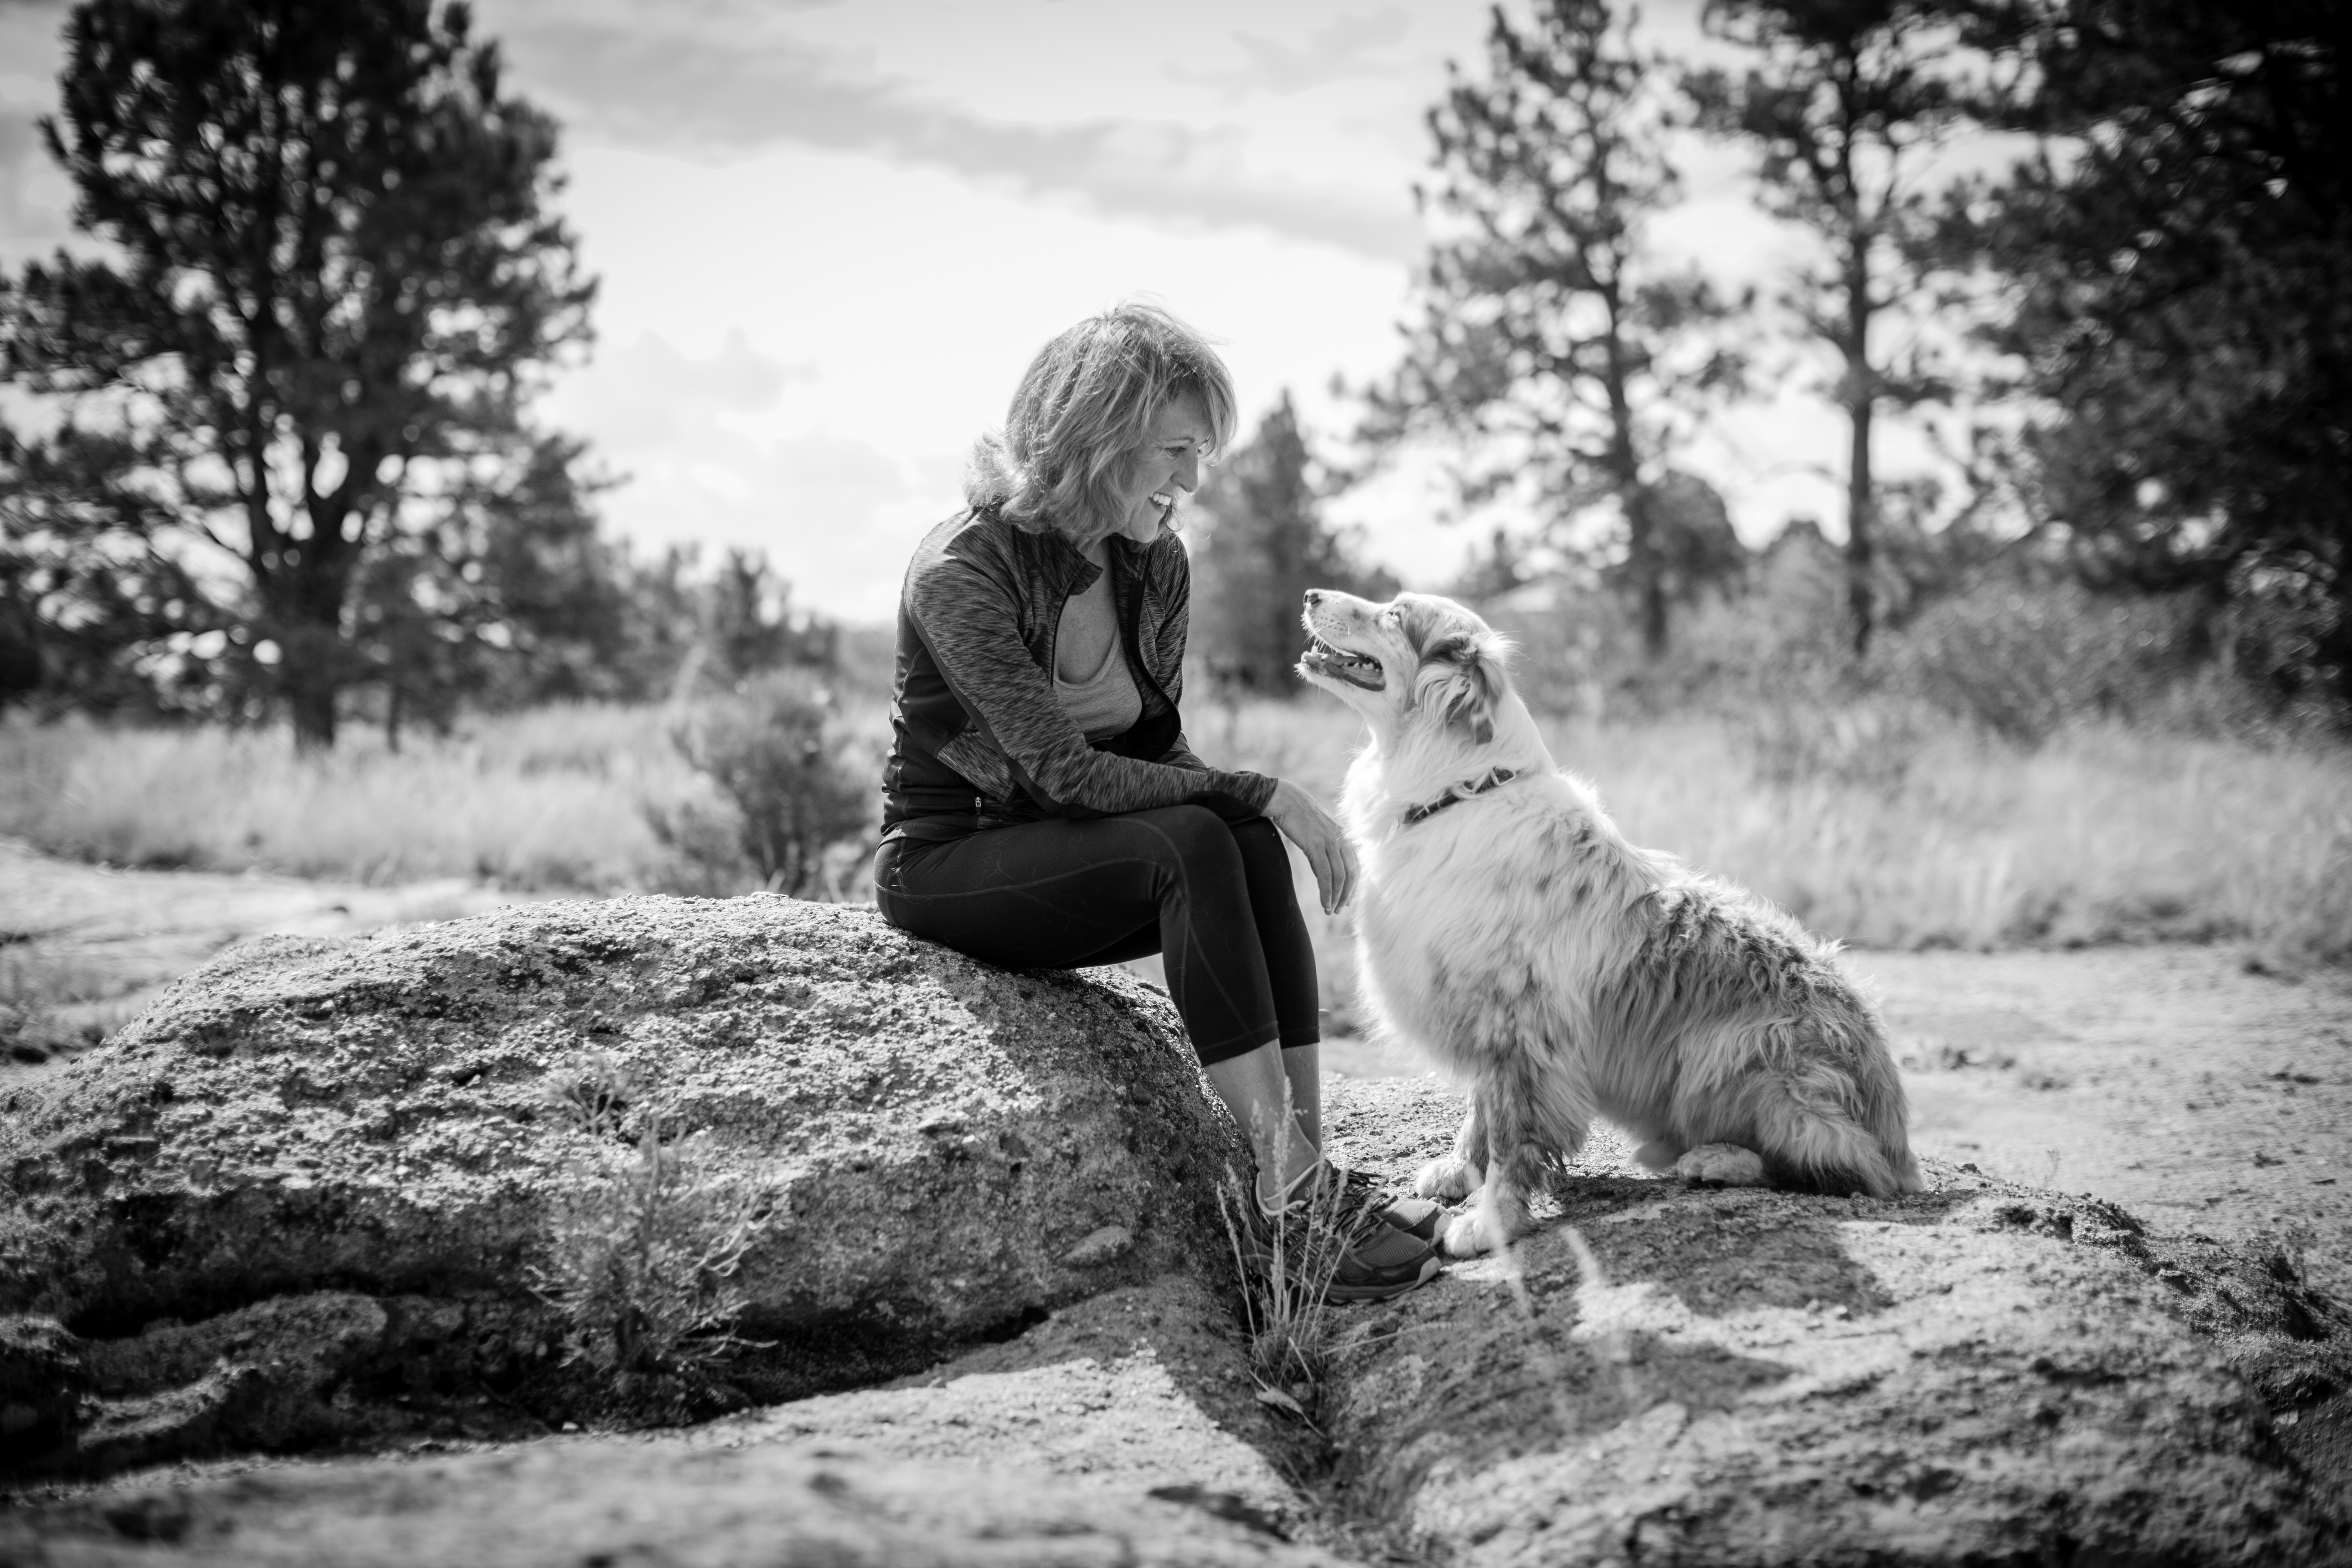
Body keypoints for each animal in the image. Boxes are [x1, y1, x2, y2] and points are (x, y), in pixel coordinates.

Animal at [1298, 592, 1919, 1260]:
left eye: (1396, 614)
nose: (1311, 595)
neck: (1461, 790)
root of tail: (1897, 1127)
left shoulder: (1522, 1028)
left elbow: (1512, 1133)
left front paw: (1491, 1222)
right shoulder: (1488, 1019)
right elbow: (1480, 1111)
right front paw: (1461, 1170)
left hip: (1746, 1053)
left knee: (1845, 1165)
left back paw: (1720, 1161)